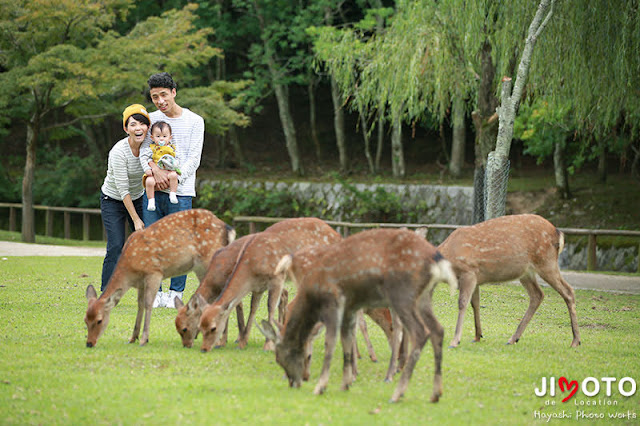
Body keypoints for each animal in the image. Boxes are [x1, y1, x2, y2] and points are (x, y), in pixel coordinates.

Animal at [84, 208, 235, 348]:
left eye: (99, 320)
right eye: (85, 320)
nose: (89, 343)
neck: (130, 271)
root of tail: (228, 229)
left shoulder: (154, 272)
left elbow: (148, 304)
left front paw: (144, 339)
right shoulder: (141, 283)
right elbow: (140, 305)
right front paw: (132, 338)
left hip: (209, 259)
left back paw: (220, 341)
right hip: (201, 267)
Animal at [198, 218, 342, 352]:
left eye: (213, 328)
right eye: (200, 326)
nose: (204, 348)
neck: (251, 267)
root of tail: (337, 236)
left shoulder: (277, 278)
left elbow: (271, 307)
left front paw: (268, 345)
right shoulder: (258, 287)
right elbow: (253, 309)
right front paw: (242, 342)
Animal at [258, 226, 458, 402]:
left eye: (280, 357)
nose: (294, 381)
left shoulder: (335, 301)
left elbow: (331, 341)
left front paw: (322, 386)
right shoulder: (350, 307)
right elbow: (347, 338)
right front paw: (346, 382)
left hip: (402, 293)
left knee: (420, 331)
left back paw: (397, 393)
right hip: (423, 297)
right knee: (437, 330)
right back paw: (434, 393)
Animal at [438, 213, 584, 350]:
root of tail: (558, 232)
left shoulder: (468, 272)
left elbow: (462, 303)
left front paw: (455, 341)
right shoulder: (476, 278)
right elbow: (475, 304)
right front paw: (477, 336)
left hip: (546, 261)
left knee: (568, 291)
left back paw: (575, 341)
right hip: (526, 272)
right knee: (538, 294)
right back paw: (513, 338)